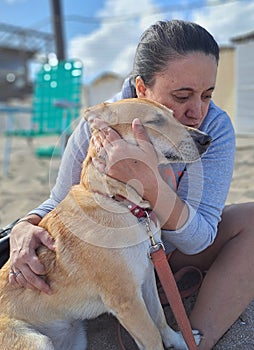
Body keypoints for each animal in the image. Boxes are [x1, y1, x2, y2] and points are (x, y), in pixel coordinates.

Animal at [0, 99, 210, 350]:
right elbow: (152, 337)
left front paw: (181, 340)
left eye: (173, 115)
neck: (122, 202)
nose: (206, 139)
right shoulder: (127, 300)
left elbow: (160, 319)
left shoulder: (147, 275)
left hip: (76, 340)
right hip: (38, 342)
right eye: (155, 120)